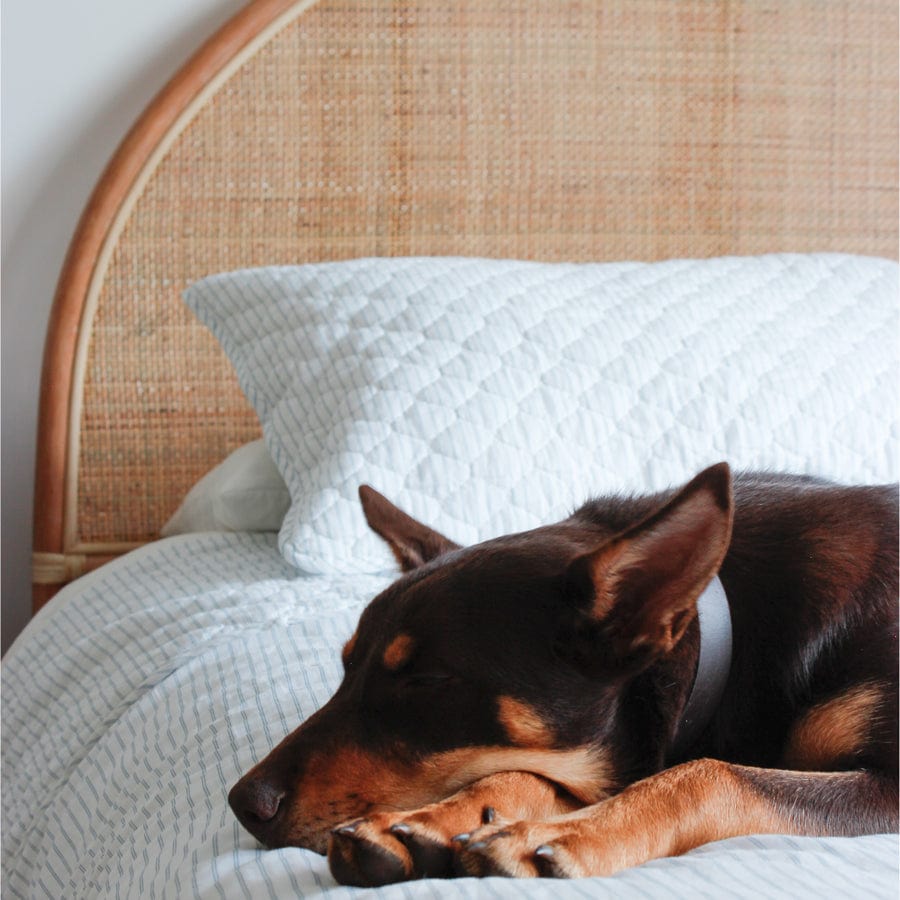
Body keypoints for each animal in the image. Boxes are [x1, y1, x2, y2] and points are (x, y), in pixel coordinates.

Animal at [229, 463, 898, 885]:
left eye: (426, 681)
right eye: (345, 666)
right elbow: (520, 773)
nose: (242, 803)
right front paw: (422, 825)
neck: (729, 624)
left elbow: (710, 775)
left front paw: (556, 838)